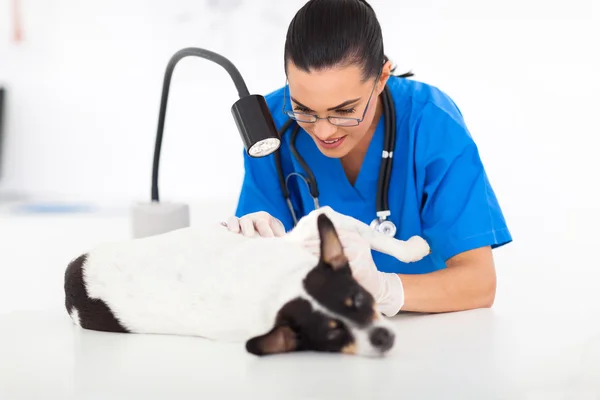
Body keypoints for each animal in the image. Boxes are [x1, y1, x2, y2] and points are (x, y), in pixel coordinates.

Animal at [62, 206, 432, 356]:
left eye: (357, 300)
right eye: (331, 333)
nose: (381, 337)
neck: (284, 285)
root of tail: (71, 274)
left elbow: (373, 236)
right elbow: (373, 235)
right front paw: (415, 247)